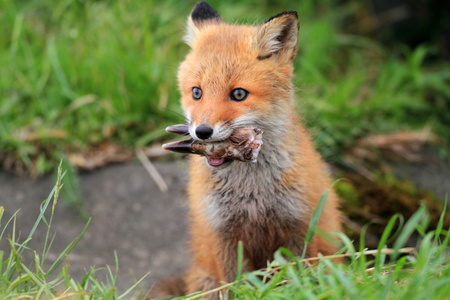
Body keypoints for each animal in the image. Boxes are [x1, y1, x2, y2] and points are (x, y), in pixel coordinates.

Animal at [153, 1, 342, 298]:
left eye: (239, 94)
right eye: (197, 93)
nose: (202, 132)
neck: (251, 193)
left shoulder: (297, 225)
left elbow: (295, 278)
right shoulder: (222, 231)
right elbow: (234, 284)